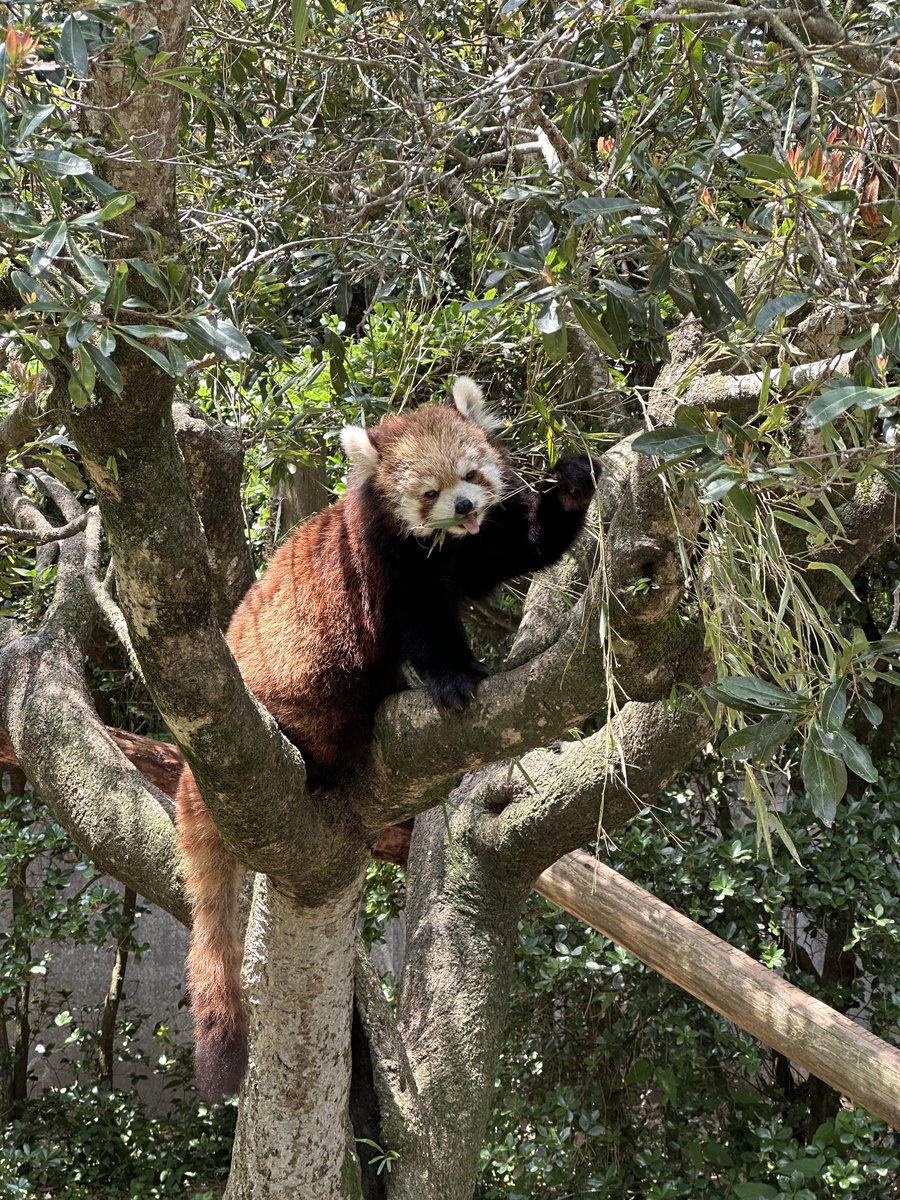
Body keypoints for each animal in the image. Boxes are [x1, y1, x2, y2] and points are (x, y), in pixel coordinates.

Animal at [176, 376, 600, 1099]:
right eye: (428, 492)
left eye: (471, 475)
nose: (464, 506)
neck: (437, 545)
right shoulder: (386, 568)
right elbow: (424, 626)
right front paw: (455, 676)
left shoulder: (472, 548)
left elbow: (518, 547)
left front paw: (572, 482)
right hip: (301, 694)